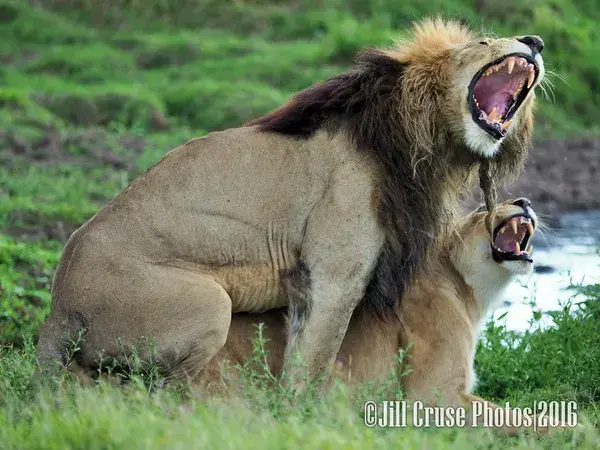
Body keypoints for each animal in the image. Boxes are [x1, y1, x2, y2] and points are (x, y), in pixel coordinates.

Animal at [35, 19, 548, 388]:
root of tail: (58, 309)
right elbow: (312, 364)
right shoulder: (334, 274)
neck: (419, 140)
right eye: (484, 40)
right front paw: (299, 418)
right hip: (208, 306)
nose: (536, 41)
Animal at [199, 199, 568, 434]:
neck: (469, 292)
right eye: (481, 208)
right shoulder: (433, 397)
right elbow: (521, 418)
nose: (525, 201)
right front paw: (574, 428)